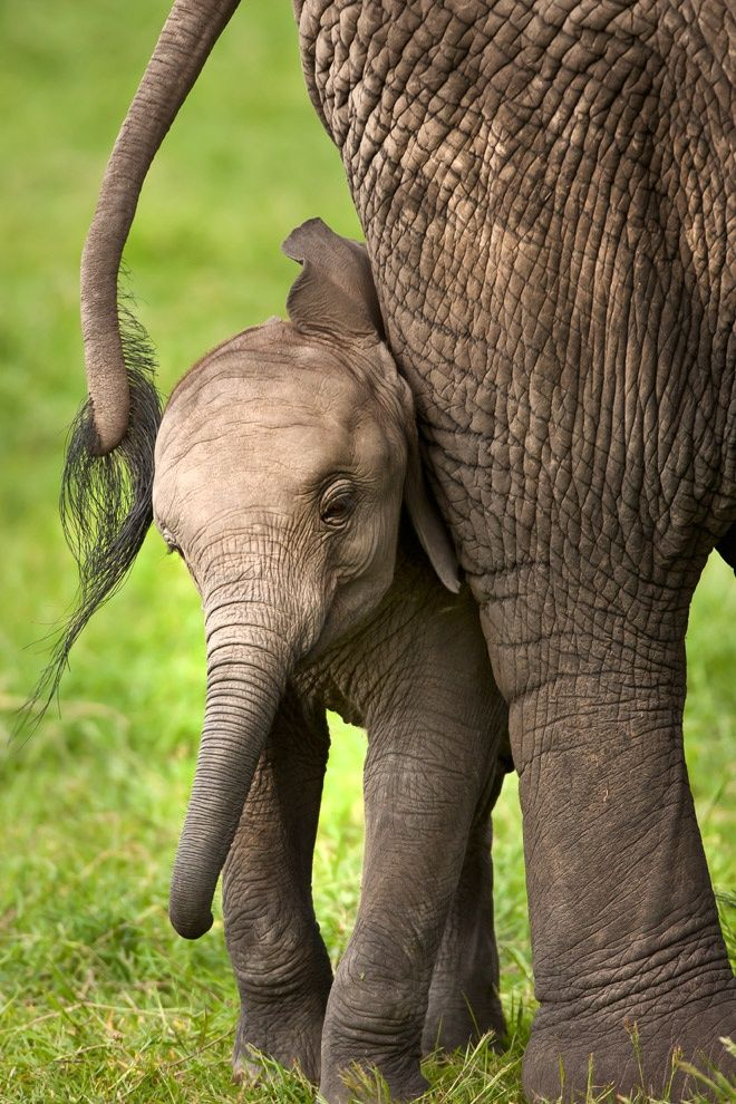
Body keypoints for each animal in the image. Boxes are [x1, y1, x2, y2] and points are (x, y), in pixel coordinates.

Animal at [154, 219, 512, 1099]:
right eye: (174, 546)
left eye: (339, 507)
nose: (187, 922)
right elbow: (265, 760)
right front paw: (269, 1074)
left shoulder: (458, 600)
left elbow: (420, 767)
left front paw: (363, 1091)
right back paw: (463, 1050)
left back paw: (459, 1051)